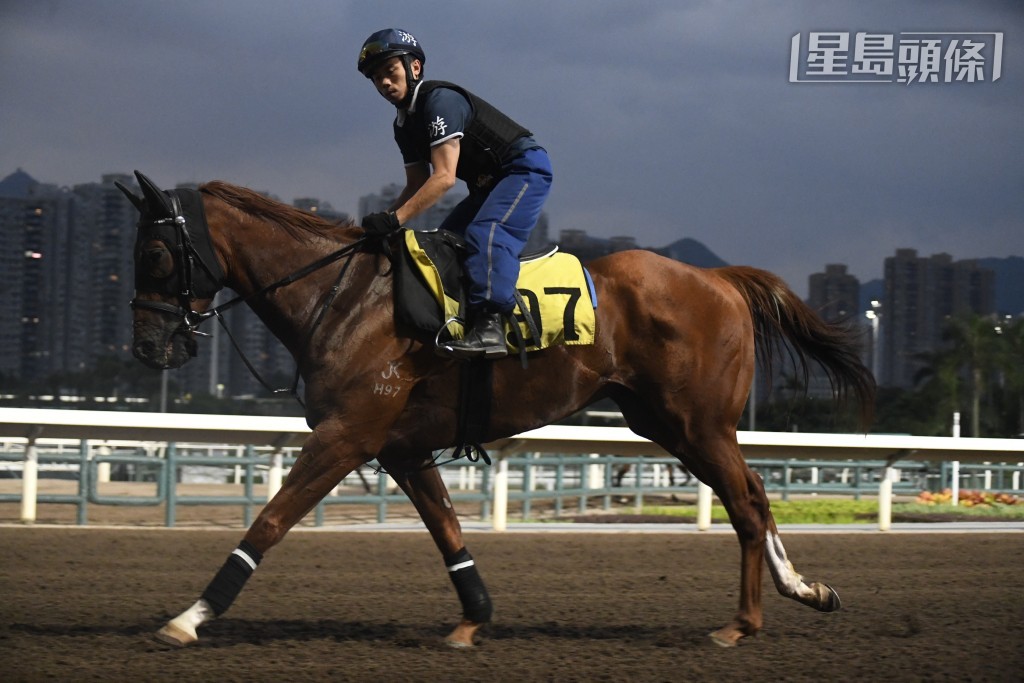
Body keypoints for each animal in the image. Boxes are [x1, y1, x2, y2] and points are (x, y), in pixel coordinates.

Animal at [117, 172, 872, 651]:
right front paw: (472, 619)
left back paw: (743, 623)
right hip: (668, 424)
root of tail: (720, 280)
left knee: (745, 503)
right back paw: (806, 590)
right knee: (755, 496)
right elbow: (447, 530)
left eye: (153, 252)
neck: (342, 296)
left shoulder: (347, 434)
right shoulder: (400, 445)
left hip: (697, 422)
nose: (148, 346)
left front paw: (190, 616)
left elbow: (270, 521)